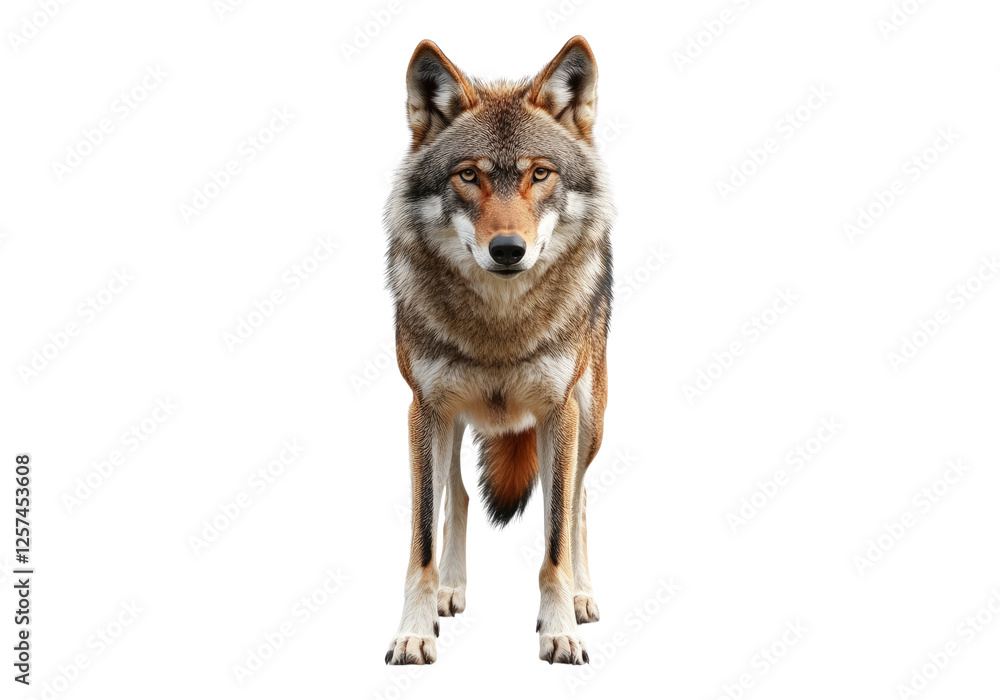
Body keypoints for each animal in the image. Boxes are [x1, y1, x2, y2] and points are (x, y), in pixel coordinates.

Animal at [383, 36, 614, 665]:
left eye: (540, 174)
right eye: (469, 175)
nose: (508, 250)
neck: (500, 325)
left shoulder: (559, 411)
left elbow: (556, 536)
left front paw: (559, 630)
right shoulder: (423, 408)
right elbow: (422, 536)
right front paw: (413, 632)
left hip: (590, 418)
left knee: (580, 501)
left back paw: (584, 598)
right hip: (453, 422)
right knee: (458, 495)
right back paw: (451, 591)